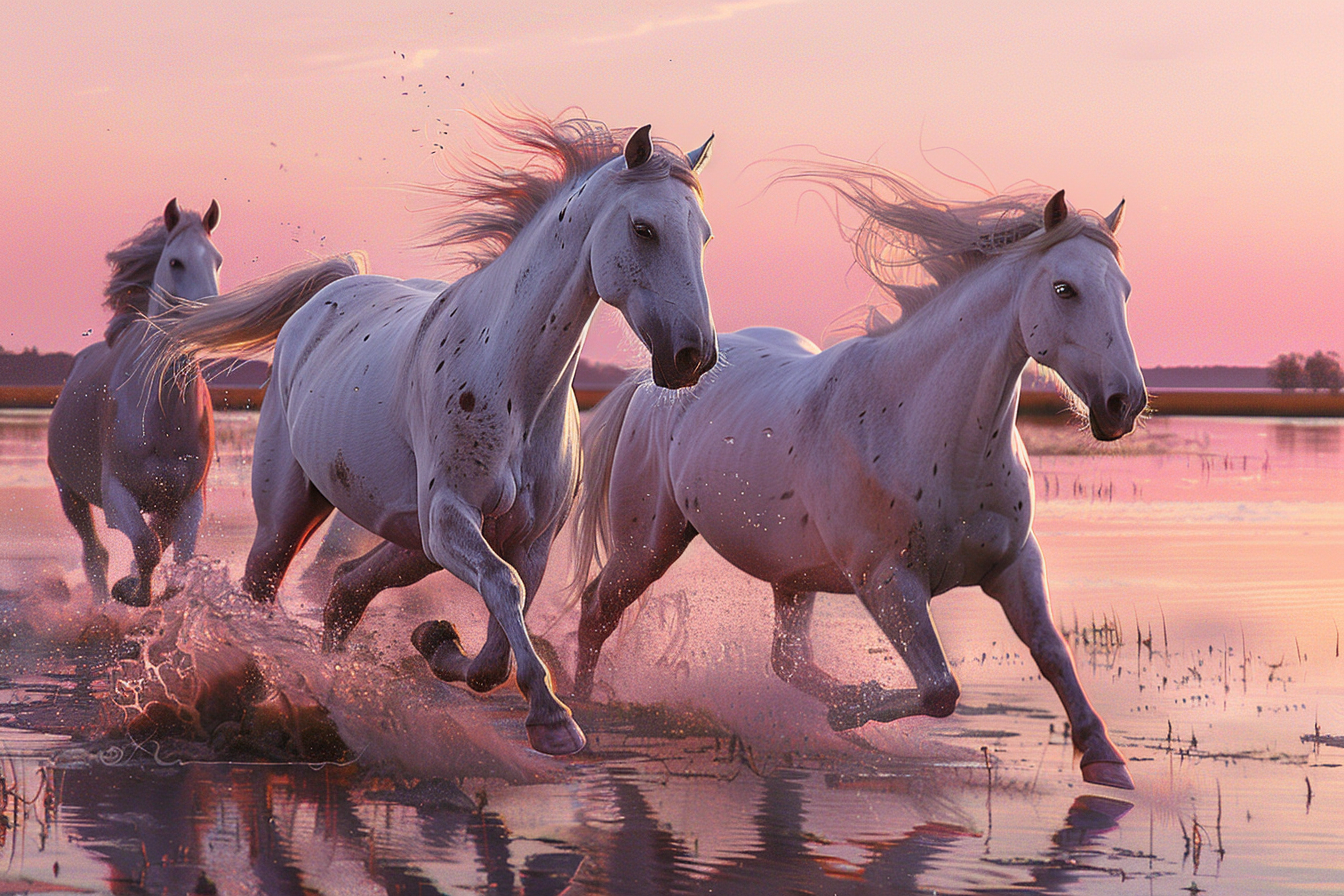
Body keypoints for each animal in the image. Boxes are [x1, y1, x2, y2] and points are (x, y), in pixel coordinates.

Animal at [47, 199, 225, 608]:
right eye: (175, 261)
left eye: (217, 260)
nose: (210, 319)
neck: (165, 416)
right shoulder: (117, 495)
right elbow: (145, 546)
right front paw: (130, 592)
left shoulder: (187, 501)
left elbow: (178, 562)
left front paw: (150, 591)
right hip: (70, 494)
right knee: (95, 556)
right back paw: (101, 604)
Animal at [158, 115, 718, 755]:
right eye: (644, 228)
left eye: (703, 236)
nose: (693, 356)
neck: (511, 381)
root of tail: (332, 292)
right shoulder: (451, 515)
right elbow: (502, 588)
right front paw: (554, 719)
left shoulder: (529, 539)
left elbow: (499, 642)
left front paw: (441, 643)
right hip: (292, 519)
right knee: (261, 593)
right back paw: (250, 698)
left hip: (412, 543)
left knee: (347, 589)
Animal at [570, 171, 1145, 789]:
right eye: (1065, 289)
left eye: (1125, 291)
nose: (1124, 403)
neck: (927, 426)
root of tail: (656, 379)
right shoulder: (887, 582)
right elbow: (941, 690)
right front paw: (853, 711)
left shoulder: (1015, 564)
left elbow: (1052, 653)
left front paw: (1104, 757)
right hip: (649, 544)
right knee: (597, 608)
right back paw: (581, 709)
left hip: (789, 573)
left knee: (787, 661)